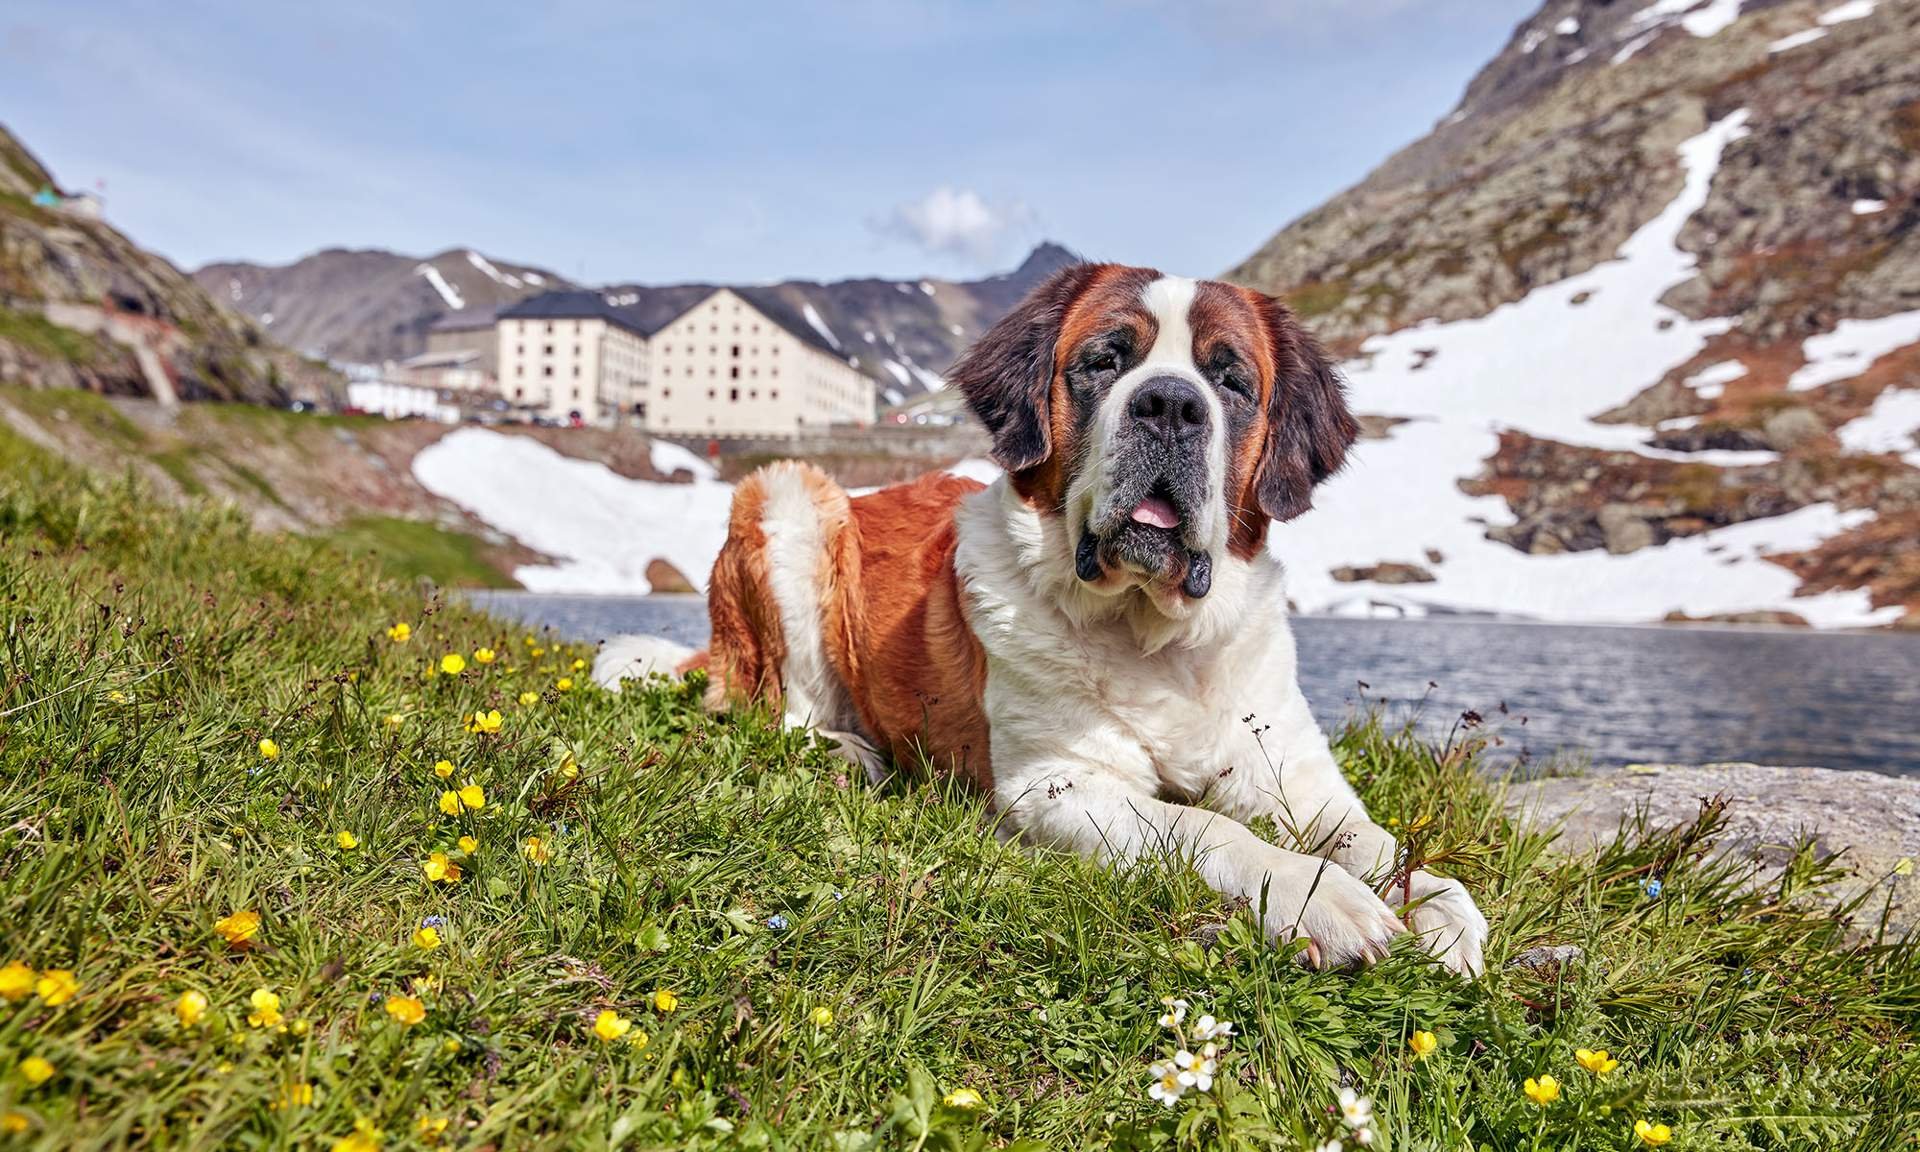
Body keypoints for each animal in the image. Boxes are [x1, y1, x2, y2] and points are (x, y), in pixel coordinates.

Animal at [591, 264, 1489, 975]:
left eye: (1231, 382)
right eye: (1105, 361)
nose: (1170, 405)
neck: (1157, 641)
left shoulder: (1296, 779)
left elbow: (1372, 839)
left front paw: (1441, 908)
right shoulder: (1056, 784)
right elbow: (1200, 825)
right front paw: (1323, 900)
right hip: (787, 496)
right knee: (777, 712)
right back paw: (849, 752)